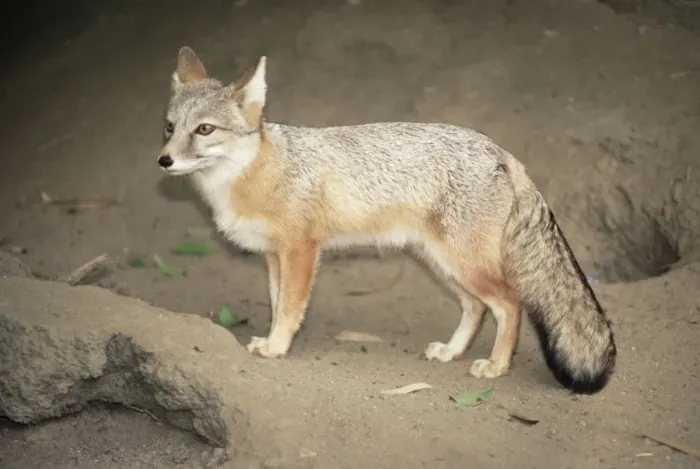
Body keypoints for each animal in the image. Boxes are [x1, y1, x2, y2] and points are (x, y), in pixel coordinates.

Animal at [157, 46, 617, 394]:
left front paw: (276, 346)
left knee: (509, 304)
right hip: (443, 263)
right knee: (476, 307)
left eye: (204, 129)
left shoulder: (301, 251)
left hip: (464, 264)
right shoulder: (273, 257)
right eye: (169, 127)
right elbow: (276, 303)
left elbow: (289, 308)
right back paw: (452, 351)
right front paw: (273, 339)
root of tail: (500, 150)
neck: (256, 173)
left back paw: (496, 366)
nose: (164, 161)